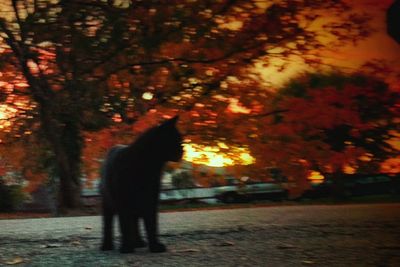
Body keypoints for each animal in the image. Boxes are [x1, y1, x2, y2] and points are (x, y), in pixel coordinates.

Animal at [100, 116, 183, 253]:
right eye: (177, 140)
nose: (183, 150)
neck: (149, 168)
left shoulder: (151, 199)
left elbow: (152, 224)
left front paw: (155, 246)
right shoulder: (123, 201)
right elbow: (125, 225)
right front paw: (127, 247)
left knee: (135, 221)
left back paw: (138, 242)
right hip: (108, 201)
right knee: (108, 223)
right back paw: (107, 245)